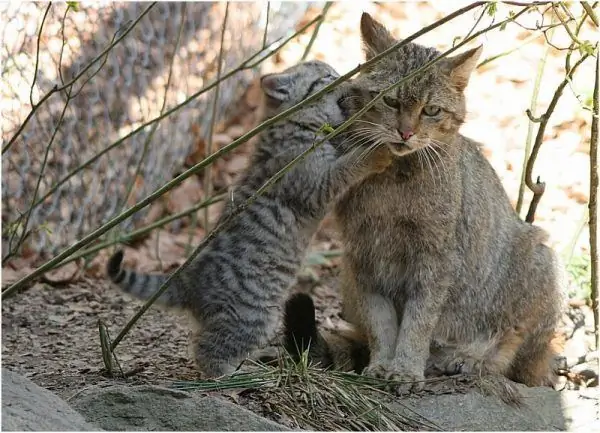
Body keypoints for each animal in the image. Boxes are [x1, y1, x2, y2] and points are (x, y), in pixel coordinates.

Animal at [106, 60, 394, 378]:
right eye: (328, 76)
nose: (351, 78)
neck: (295, 124)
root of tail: (189, 281)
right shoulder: (315, 183)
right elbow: (349, 165)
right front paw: (376, 153)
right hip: (253, 315)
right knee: (207, 351)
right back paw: (234, 376)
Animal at [284, 14, 560, 392]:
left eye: (431, 110)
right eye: (390, 102)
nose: (406, 133)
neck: (395, 180)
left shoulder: (435, 259)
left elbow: (419, 320)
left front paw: (405, 368)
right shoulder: (364, 255)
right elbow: (380, 320)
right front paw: (382, 364)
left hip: (538, 255)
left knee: (517, 354)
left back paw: (470, 358)